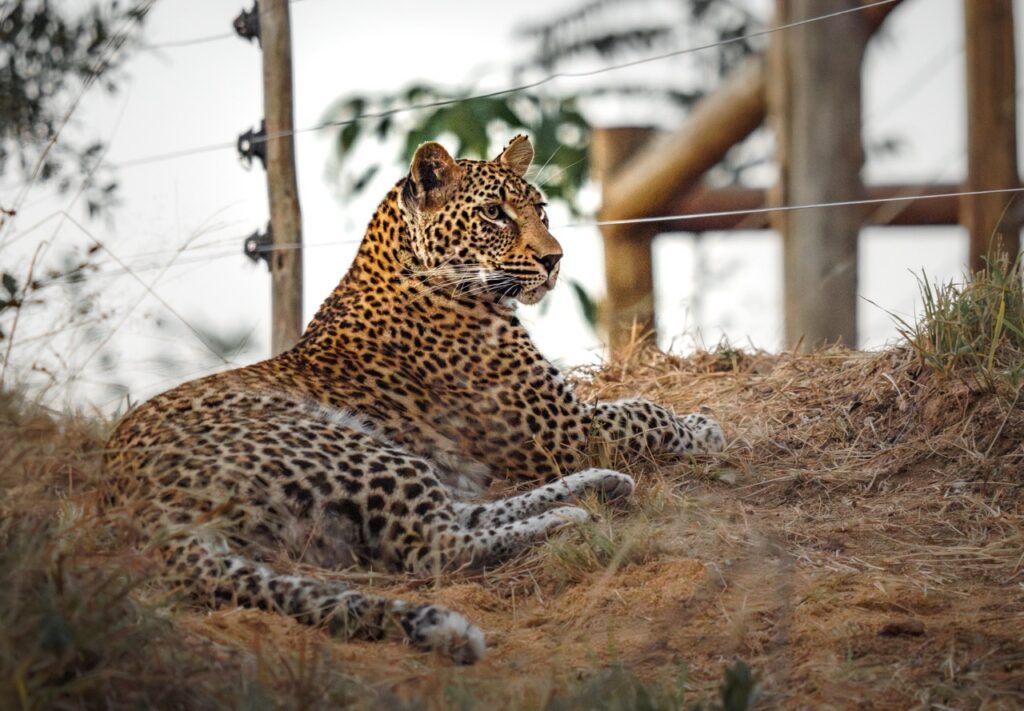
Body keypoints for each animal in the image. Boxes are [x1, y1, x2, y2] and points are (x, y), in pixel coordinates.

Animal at [104, 135, 725, 665]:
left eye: (540, 210)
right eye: (494, 214)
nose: (555, 259)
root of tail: (128, 504)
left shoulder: (564, 420)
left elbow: (634, 408)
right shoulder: (564, 428)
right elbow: (643, 412)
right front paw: (702, 427)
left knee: (460, 513)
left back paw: (600, 487)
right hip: (346, 445)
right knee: (439, 544)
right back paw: (570, 516)